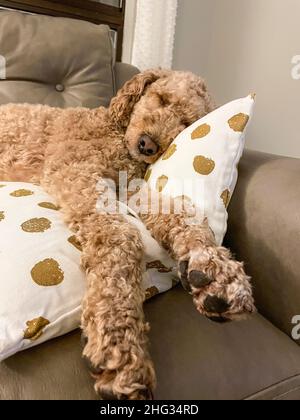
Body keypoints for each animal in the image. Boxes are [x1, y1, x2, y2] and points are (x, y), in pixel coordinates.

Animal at [0, 69, 255, 400]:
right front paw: (119, 344)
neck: (115, 133)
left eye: (186, 121)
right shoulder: (75, 171)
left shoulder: (129, 185)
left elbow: (179, 213)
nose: (148, 145)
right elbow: (121, 235)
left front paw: (214, 270)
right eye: (162, 98)